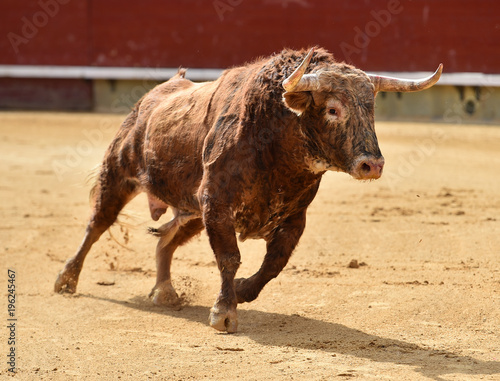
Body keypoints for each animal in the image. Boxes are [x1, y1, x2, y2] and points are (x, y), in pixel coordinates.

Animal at [53, 47, 442, 332]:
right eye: (333, 109)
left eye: (371, 110)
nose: (372, 165)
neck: (277, 140)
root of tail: (155, 94)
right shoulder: (218, 204)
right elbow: (230, 257)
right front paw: (224, 314)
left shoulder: (292, 216)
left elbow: (274, 264)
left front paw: (241, 291)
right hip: (119, 175)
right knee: (96, 224)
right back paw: (66, 280)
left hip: (192, 211)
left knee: (165, 243)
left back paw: (165, 292)